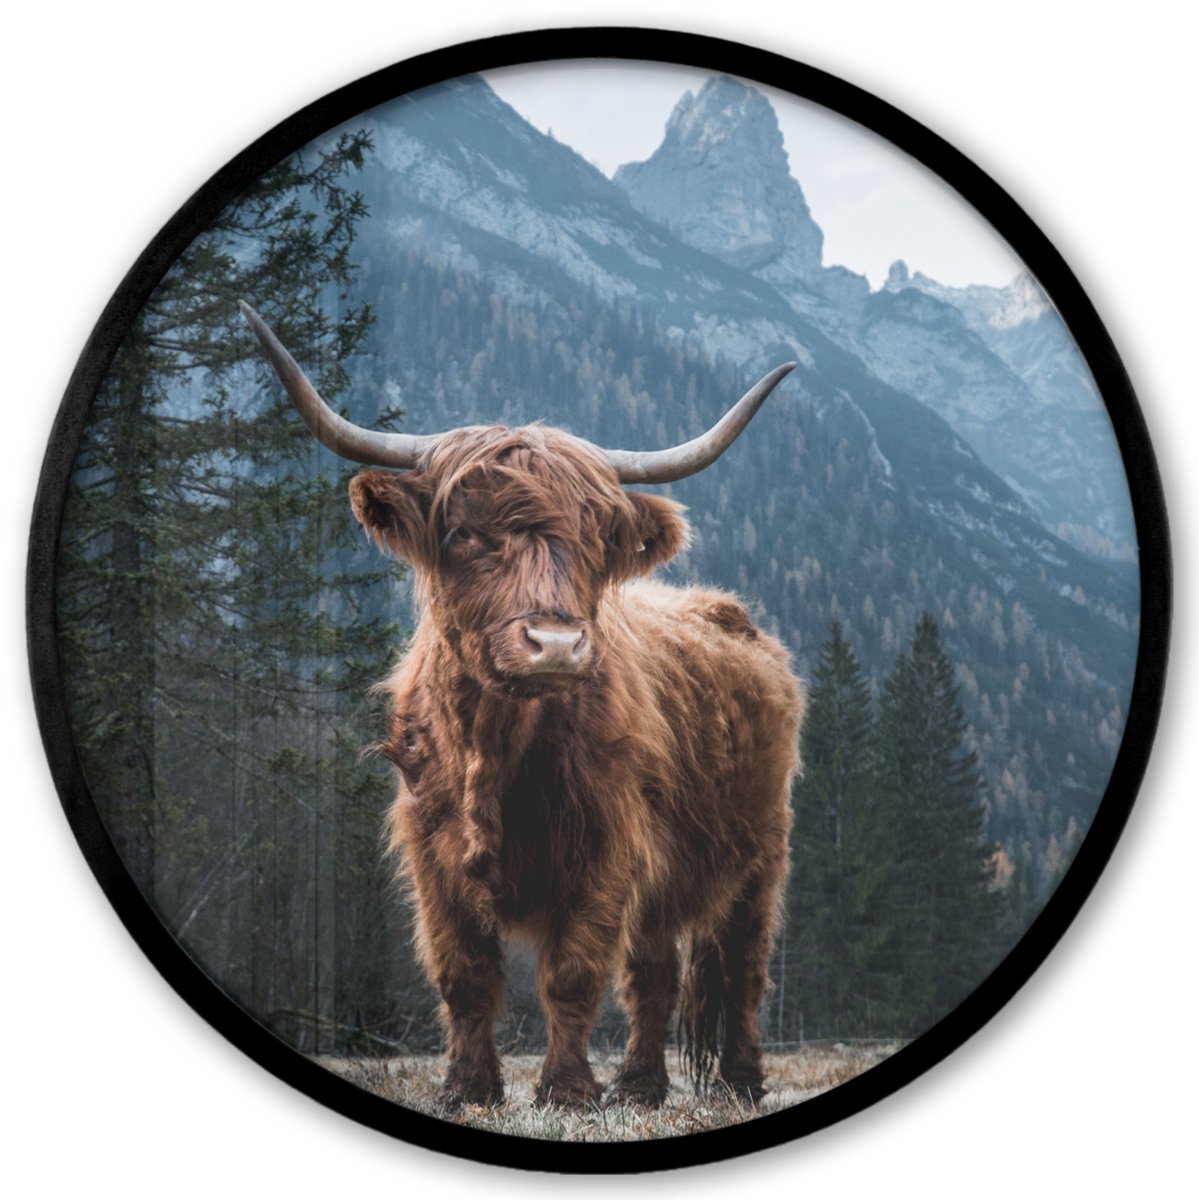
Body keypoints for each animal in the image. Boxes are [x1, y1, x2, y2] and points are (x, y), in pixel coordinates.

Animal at [241, 301, 805, 1109]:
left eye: (595, 539)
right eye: (463, 533)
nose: (557, 644)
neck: (493, 748)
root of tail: (728, 611)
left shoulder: (606, 849)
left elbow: (571, 973)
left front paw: (565, 1091)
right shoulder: (432, 856)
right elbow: (464, 975)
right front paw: (468, 1088)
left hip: (762, 852)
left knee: (742, 968)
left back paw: (739, 1082)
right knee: (656, 974)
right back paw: (639, 1086)